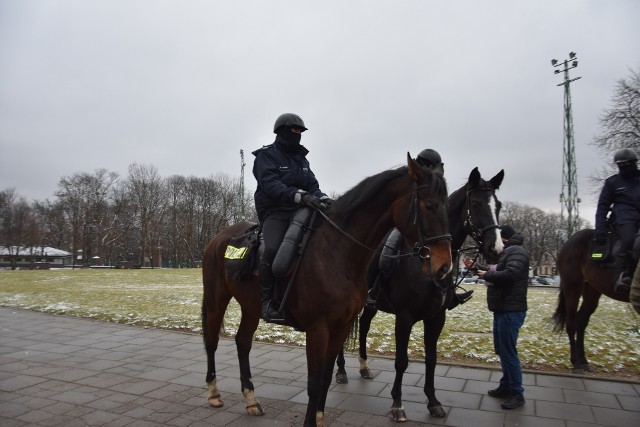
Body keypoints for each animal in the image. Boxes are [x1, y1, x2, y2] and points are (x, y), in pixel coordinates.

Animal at [202, 155, 452, 427]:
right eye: (429, 205)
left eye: (446, 205)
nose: (444, 266)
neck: (338, 251)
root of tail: (219, 237)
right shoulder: (318, 329)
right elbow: (314, 383)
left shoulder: (341, 327)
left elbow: (325, 378)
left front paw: (319, 419)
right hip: (216, 298)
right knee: (211, 341)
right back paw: (214, 393)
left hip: (251, 306)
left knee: (242, 342)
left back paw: (251, 399)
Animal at [336, 167, 504, 422]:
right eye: (475, 204)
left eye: (499, 206)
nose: (496, 249)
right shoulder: (404, 318)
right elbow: (401, 361)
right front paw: (397, 404)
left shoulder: (436, 318)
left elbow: (431, 360)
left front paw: (433, 402)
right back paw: (342, 371)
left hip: (371, 305)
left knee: (363, 326)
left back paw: (364, 367)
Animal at [556, 229, 632, 372]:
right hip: (572, 287)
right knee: (571, 322)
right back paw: (576, 363)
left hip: (592, 289)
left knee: (580, 321)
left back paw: (583, 361)